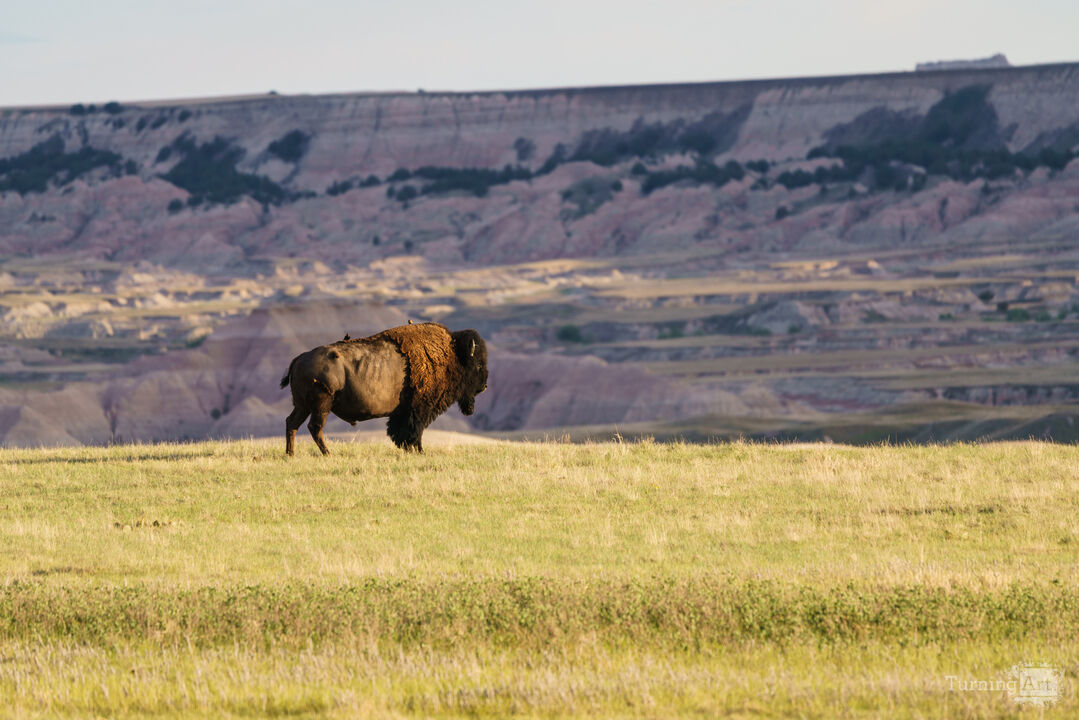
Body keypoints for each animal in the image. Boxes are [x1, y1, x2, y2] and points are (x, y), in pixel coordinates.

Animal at [280, 322, 487, 455]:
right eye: (477, 365)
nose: (484, 387)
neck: (453, 355)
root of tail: (299, 358)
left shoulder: (402, 412)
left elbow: (401, 432)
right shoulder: (418, 409)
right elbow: (414, 431)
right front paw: (420, 451)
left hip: (303, 406)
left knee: (292, 423)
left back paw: (291, 454)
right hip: (321, 405)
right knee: (314, 427)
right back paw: (327, 453)